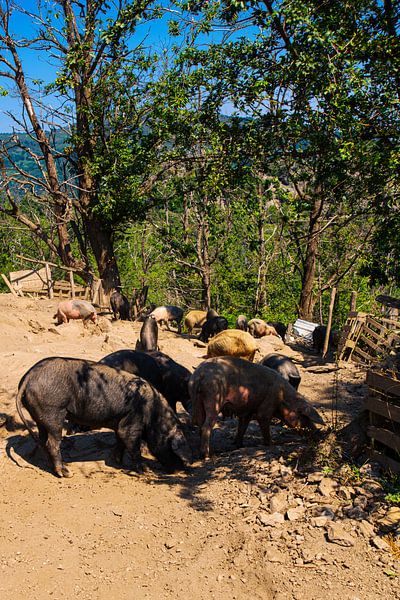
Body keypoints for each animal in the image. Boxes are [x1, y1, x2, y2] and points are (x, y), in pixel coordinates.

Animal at [189, 356, 324, 460]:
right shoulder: (266, 407)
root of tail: (200, 375)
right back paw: (208, 456)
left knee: (200, 425)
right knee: (206, 426)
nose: (318, 433)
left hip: (196, 399)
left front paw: (239, 445)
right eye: (304, 417)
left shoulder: (247, 410)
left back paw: (206, 453)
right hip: (214, 396)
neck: (283, 398)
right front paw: (271, 444)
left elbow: (242, 427)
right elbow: (263, 424)